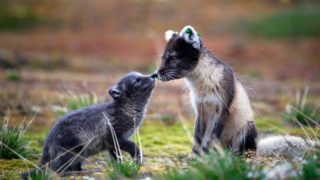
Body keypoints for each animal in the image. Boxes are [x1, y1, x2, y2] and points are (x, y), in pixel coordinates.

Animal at [21, 71, 156, 177]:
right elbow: (133, 146)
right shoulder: (114, 136)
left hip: (81, 154)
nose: (154, 75)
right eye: (137, 80)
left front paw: (118, 168)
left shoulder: (112, 145)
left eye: (141, 75)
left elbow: (116, 157)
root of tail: (49, 139)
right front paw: (137, 159)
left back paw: (82, 171)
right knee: (56, 167)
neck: (127, 109)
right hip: (76, 150)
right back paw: (70, 174)